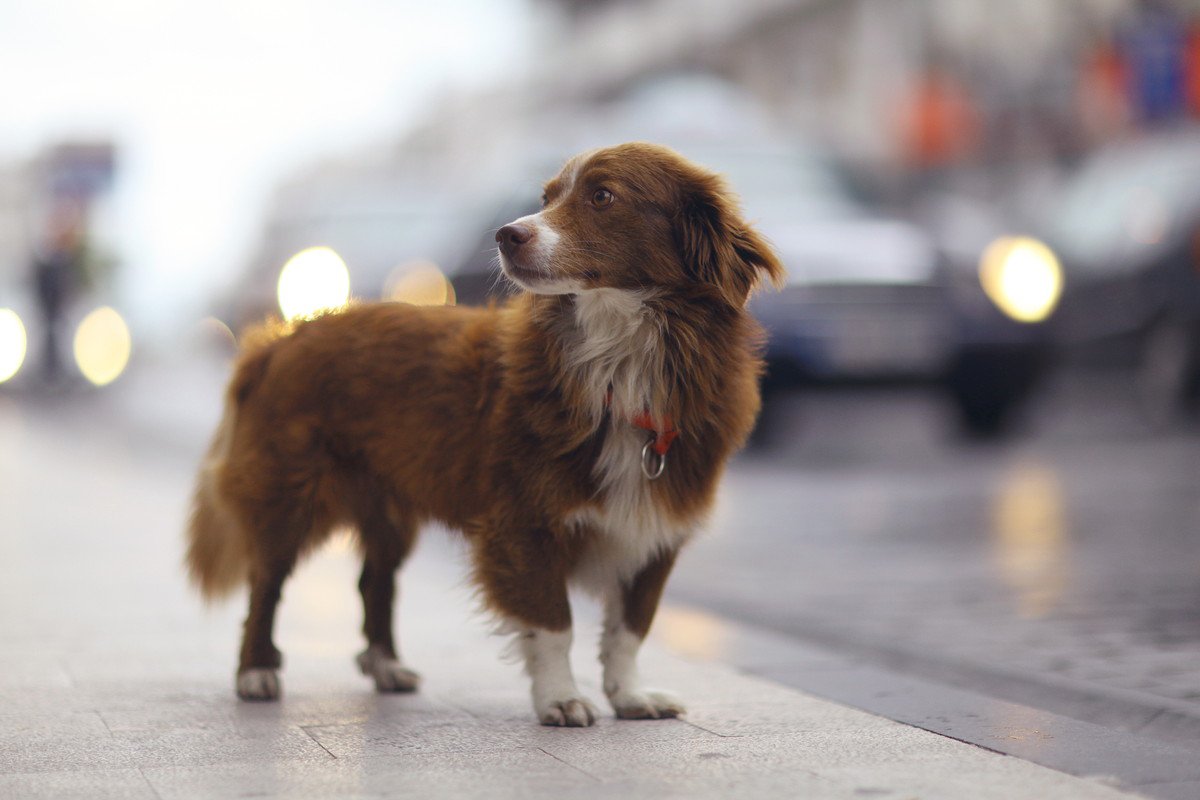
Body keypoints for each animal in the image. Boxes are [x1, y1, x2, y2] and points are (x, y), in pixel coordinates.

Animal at [186, 142, 782, 724]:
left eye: (603, 196)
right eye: (546, 198)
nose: (506, 234)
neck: (620, 364)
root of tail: (278, 339)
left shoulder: (656, 526)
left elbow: (631, 629)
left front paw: (630, 696)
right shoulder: (524, 521)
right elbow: (554, 623)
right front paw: (561, 699)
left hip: (386, 505)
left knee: (374, 582)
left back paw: (386, 667)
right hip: (289, 489)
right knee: (266, 583)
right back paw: (256, 673)